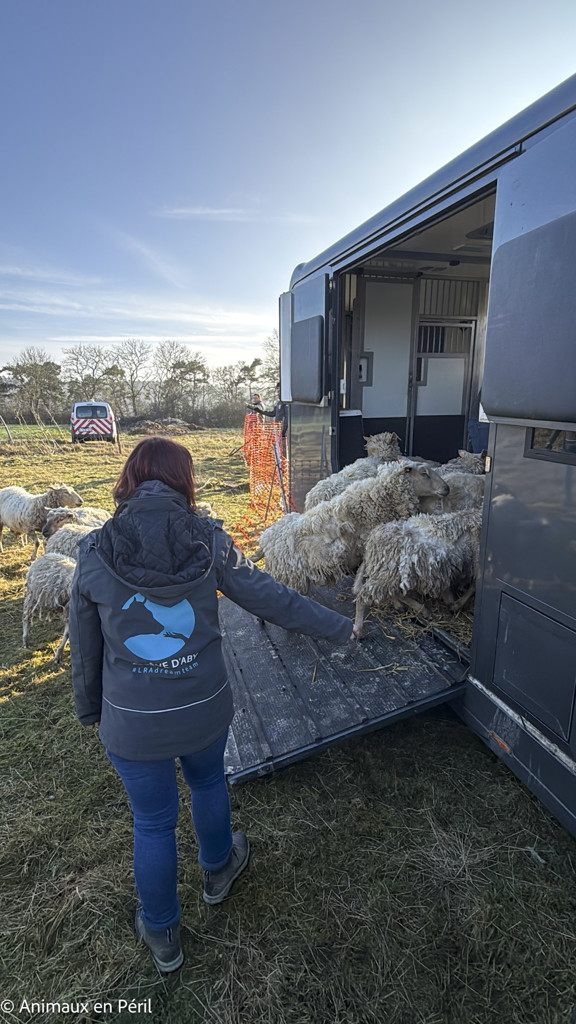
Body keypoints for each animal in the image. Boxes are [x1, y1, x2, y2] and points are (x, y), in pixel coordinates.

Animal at [352, 507, 483, 635]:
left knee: (394, 593)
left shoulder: (444, 569)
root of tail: (372, 541)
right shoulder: (474, 561)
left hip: (390, 575)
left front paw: (450, 602)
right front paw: (456, 605)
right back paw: (357, 630)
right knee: (363, 596)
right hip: (389, 574)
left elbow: (448, 590)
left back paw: (413, 608)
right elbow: (474, 586)